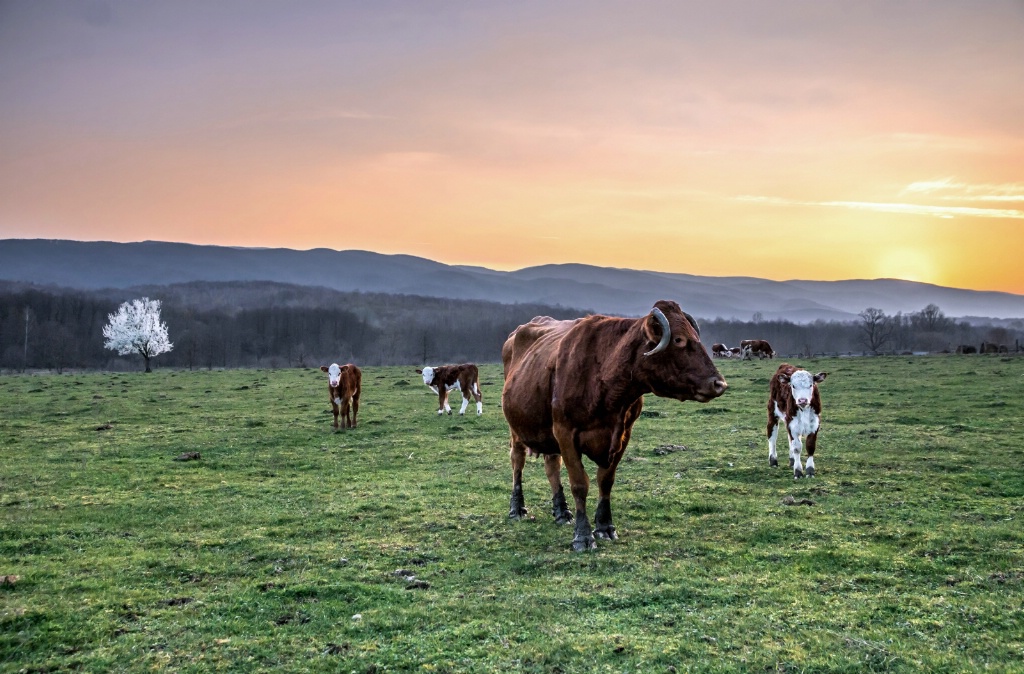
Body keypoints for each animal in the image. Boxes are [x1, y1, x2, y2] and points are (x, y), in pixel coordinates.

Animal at [501, 301, 729, 553]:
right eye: (679, 340)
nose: (719, 383)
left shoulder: (622, 435)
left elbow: (605, 481)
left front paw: (604, 526)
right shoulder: (565, 432)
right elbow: (579, 484)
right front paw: (583, 535)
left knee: (552, 466)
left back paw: (562, 512)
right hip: (517, 429)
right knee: (517, 461)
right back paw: (517, 508)